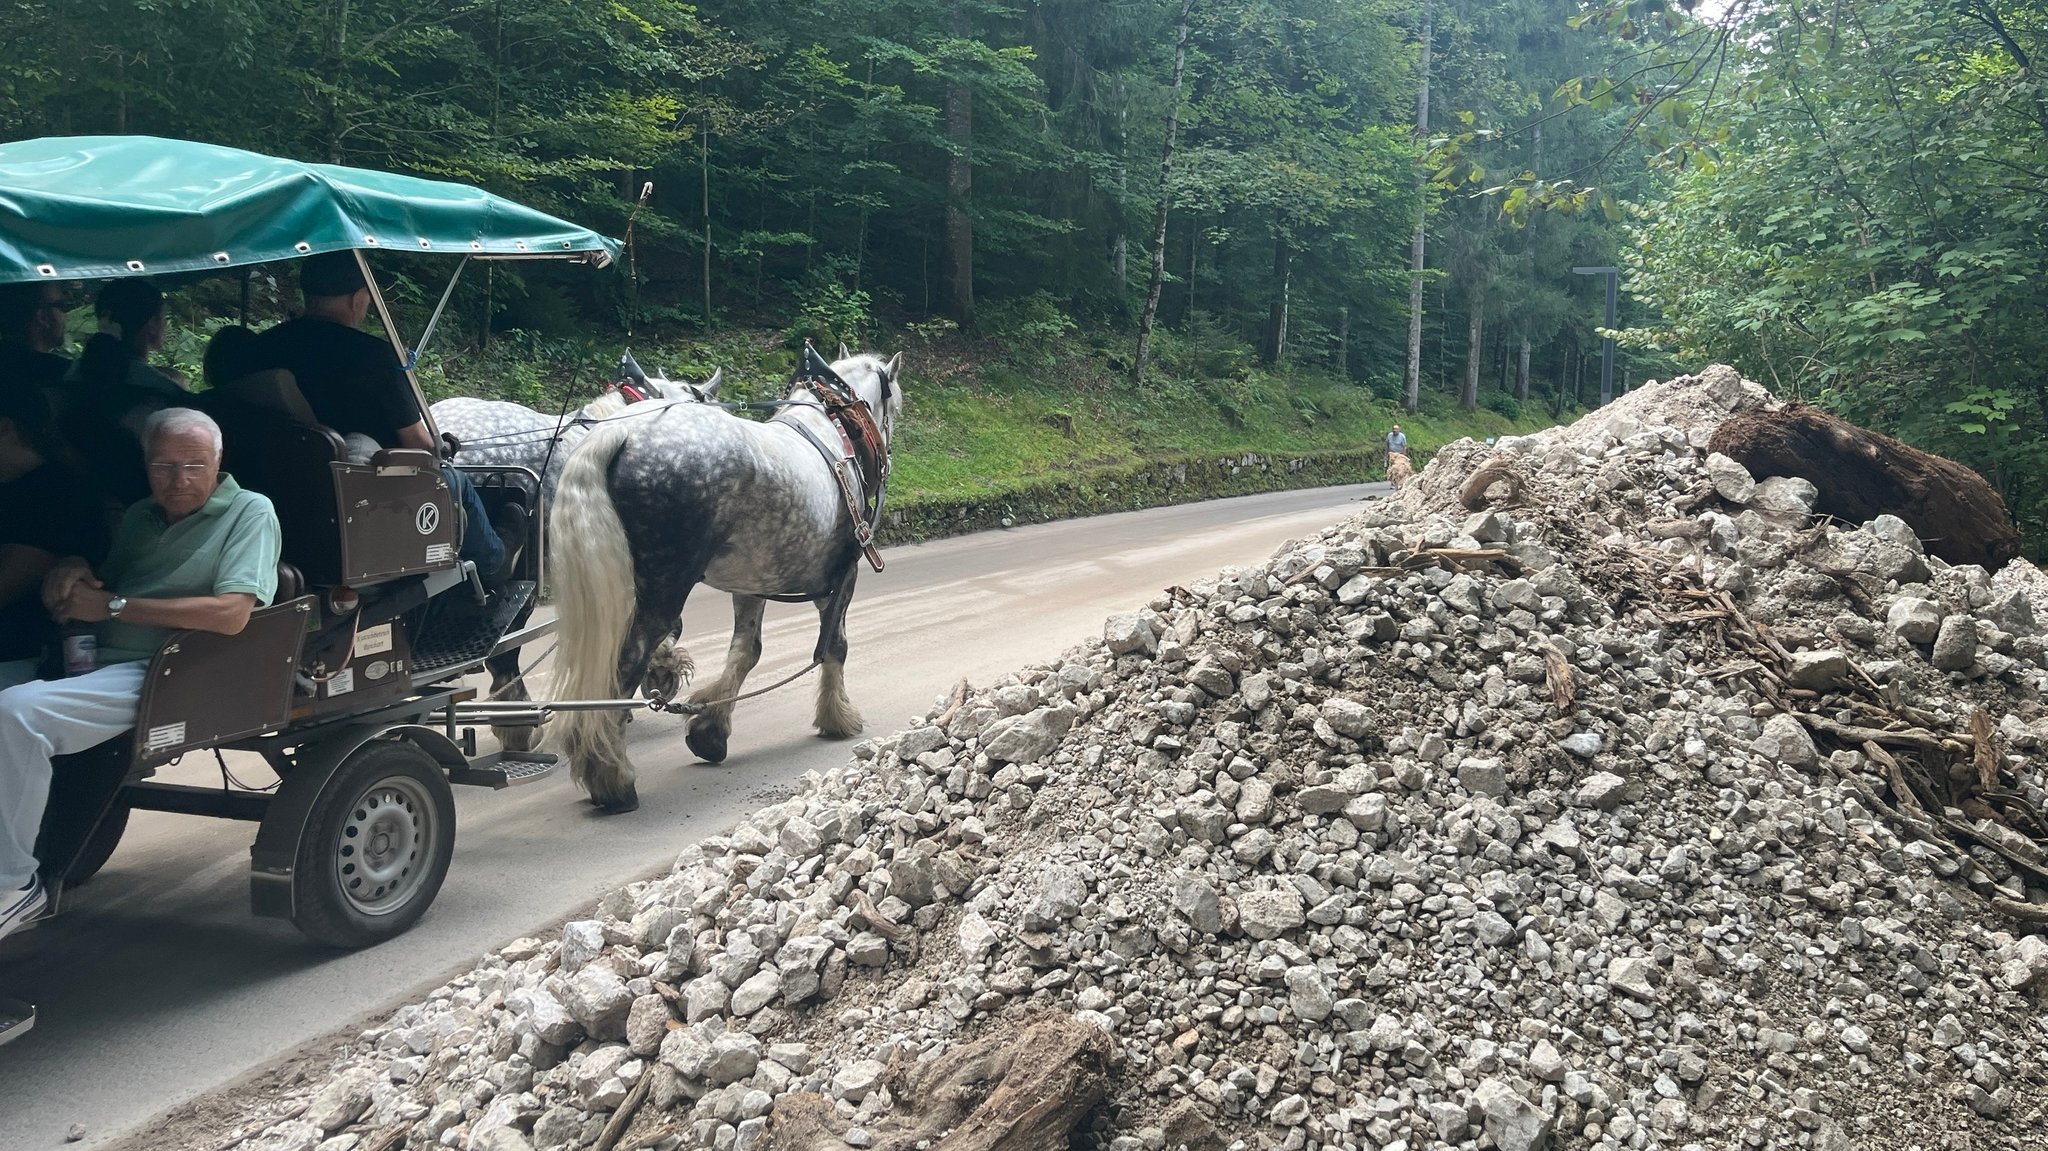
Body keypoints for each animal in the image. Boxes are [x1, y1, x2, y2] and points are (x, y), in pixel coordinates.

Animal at [548, 350, 901, 806]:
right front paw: (836, 716)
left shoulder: (752, 583)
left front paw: (710, 729)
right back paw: (611, 776)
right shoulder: (844, 575)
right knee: (625, 663)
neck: (828, 428)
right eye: (893, 408)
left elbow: (745, 651)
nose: (887, 455)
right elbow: (834, 647)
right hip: (662, 590)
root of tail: (621, 430)